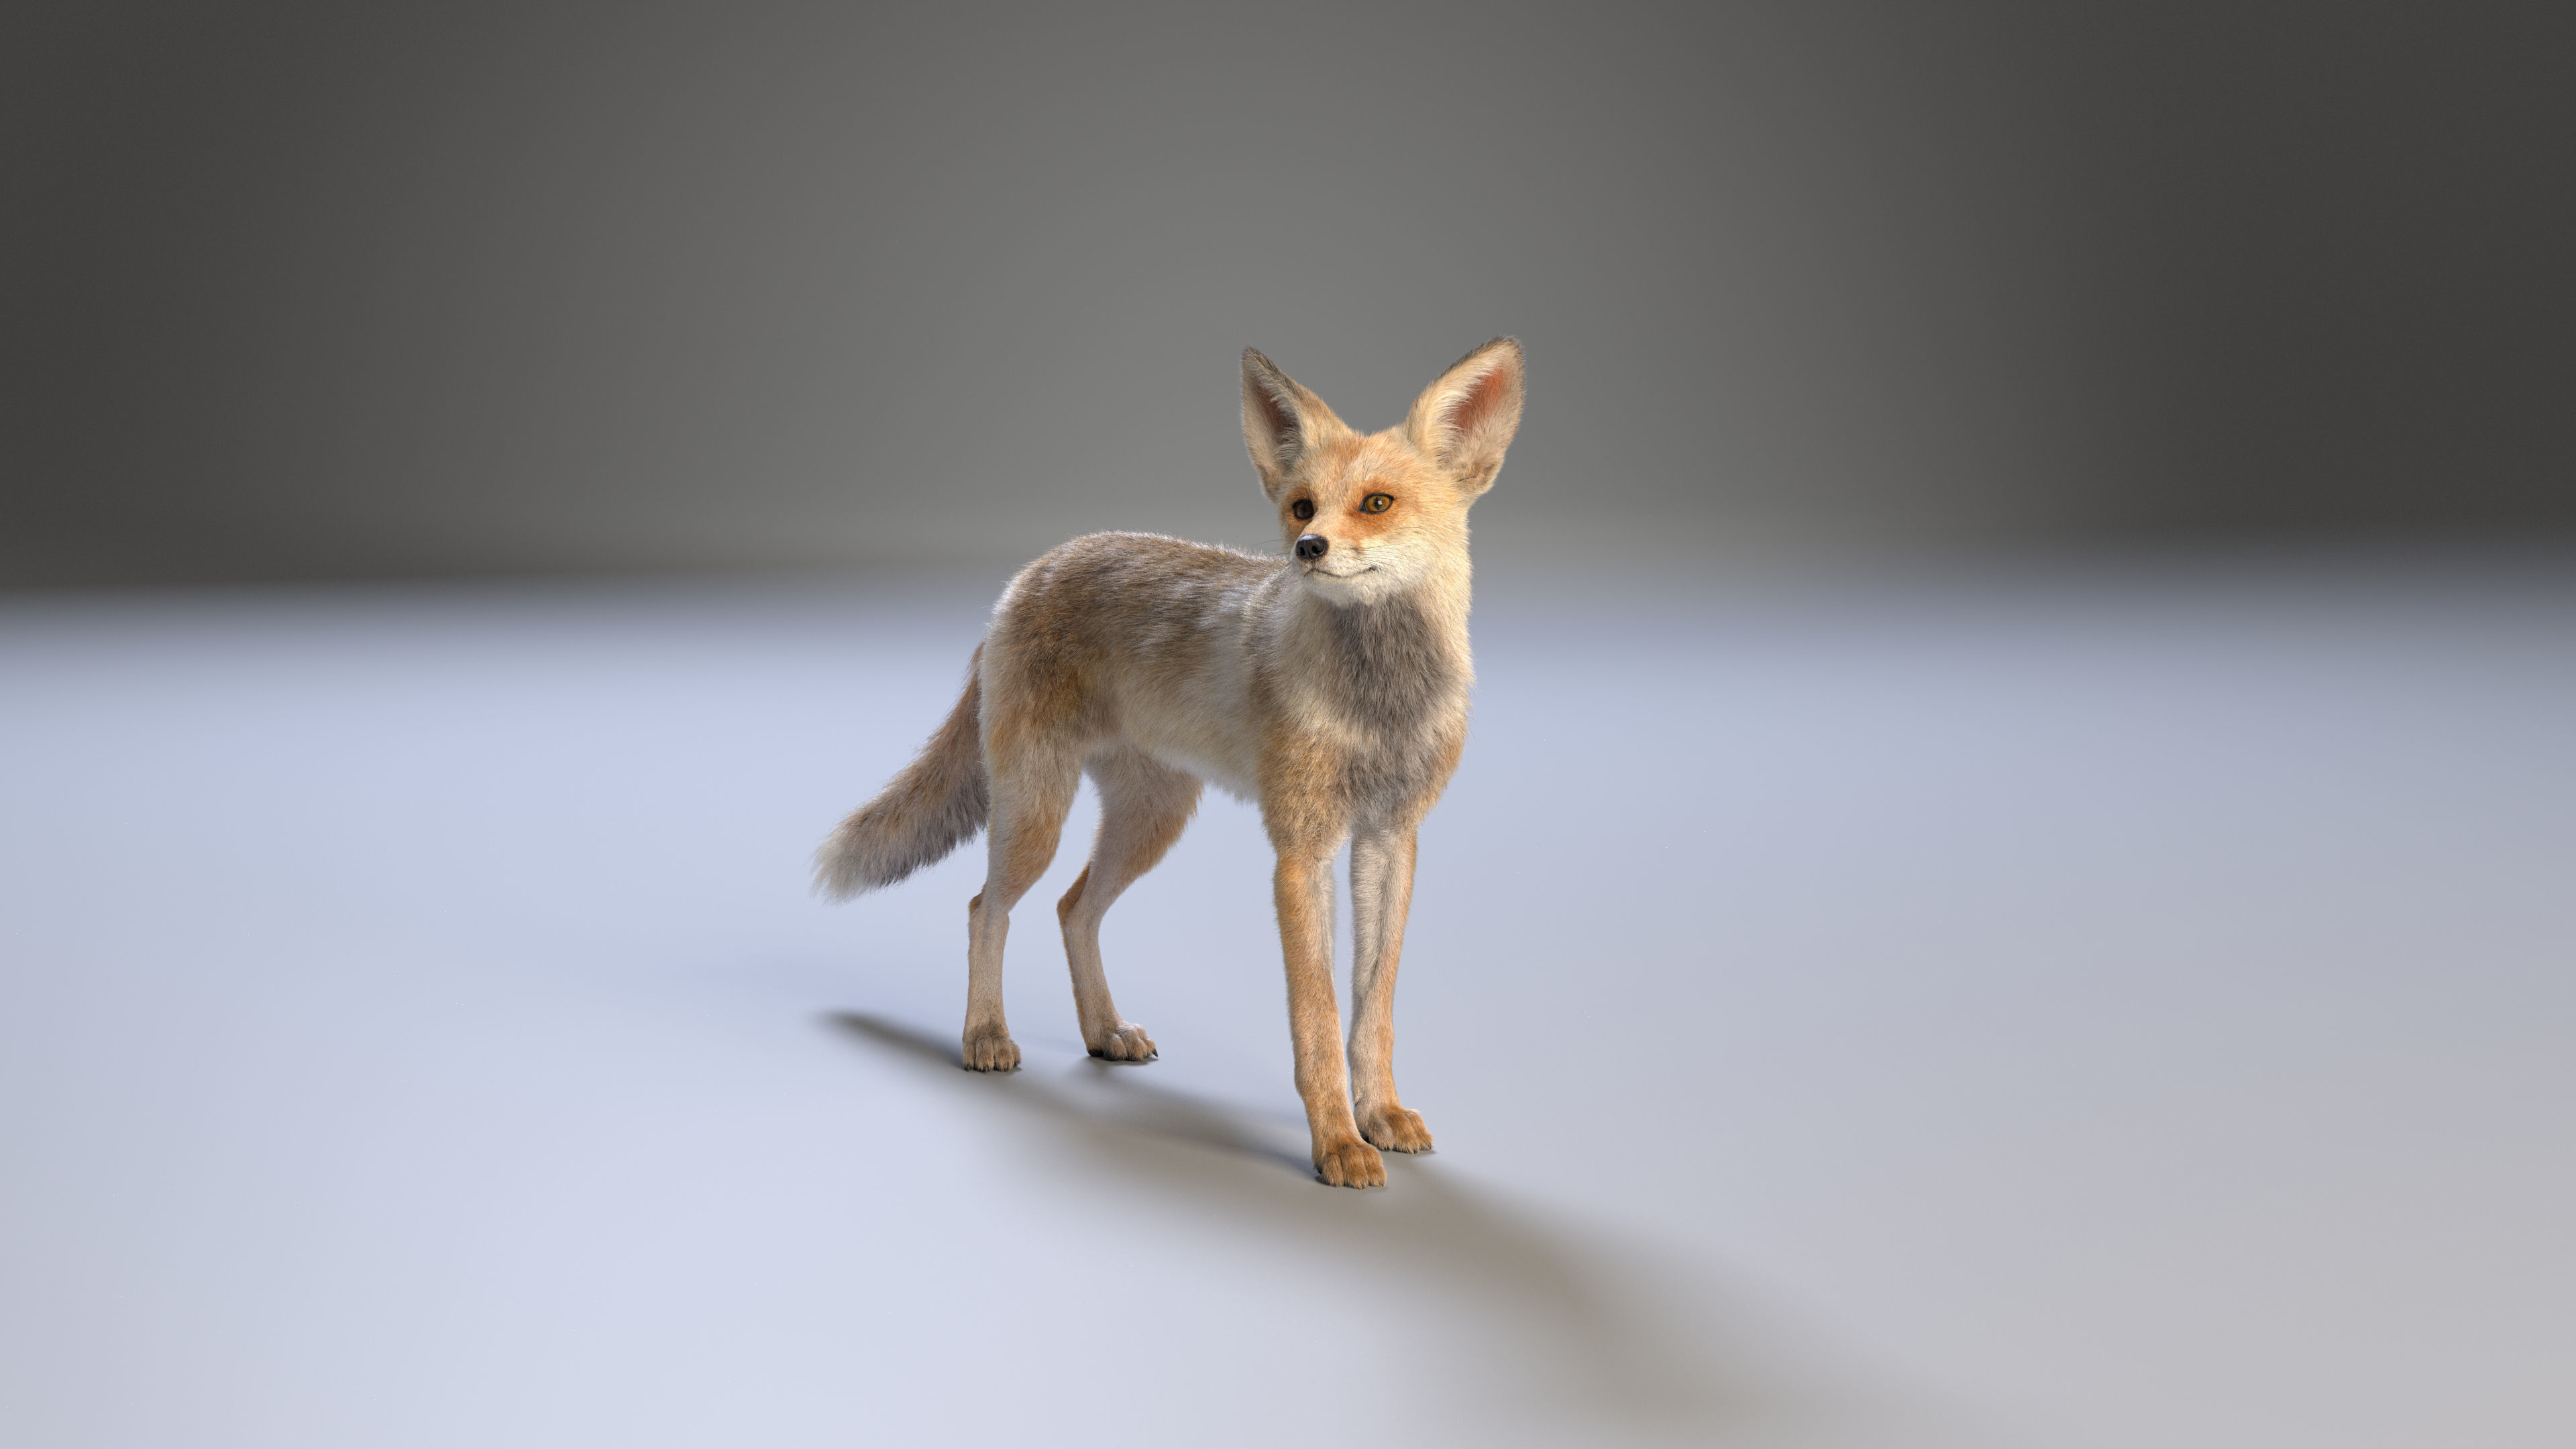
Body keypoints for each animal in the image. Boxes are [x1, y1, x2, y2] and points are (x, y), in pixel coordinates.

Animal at [816, 338, 1525, 1188]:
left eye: (1376, 504)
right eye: (1302, 507)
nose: (1307, 550)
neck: (1379, 705)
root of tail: (1030, 572)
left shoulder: (1391, 840)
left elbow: (1371, 1011)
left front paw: (1379, 1114)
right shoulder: (1302, 850)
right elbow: (1318, 1018)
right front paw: (1336, 1143)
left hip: (1151, 823)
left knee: (1073, 909)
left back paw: (1103, 1032)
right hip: (1037, 817)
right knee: (987, 908)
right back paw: (984, 1034)